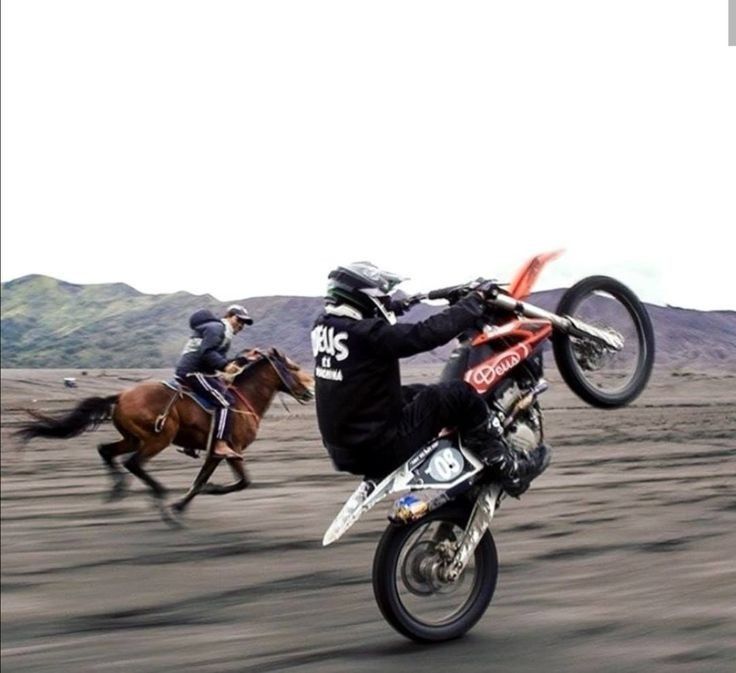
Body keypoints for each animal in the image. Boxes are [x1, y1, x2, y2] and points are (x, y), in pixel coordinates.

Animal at [15, 346, 314, 516]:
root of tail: (121, 396)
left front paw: (184, 504)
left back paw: (117, 490)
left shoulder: (216, 453)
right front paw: (196, 497)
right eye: (294, 367)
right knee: (133, 463)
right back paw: (157, 496)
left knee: (106, 451)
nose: (310, 390)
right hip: (158, 438)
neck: (244, 399)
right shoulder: (231, 450)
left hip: (132, 438)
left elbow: (202, 482)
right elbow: (241, 482)